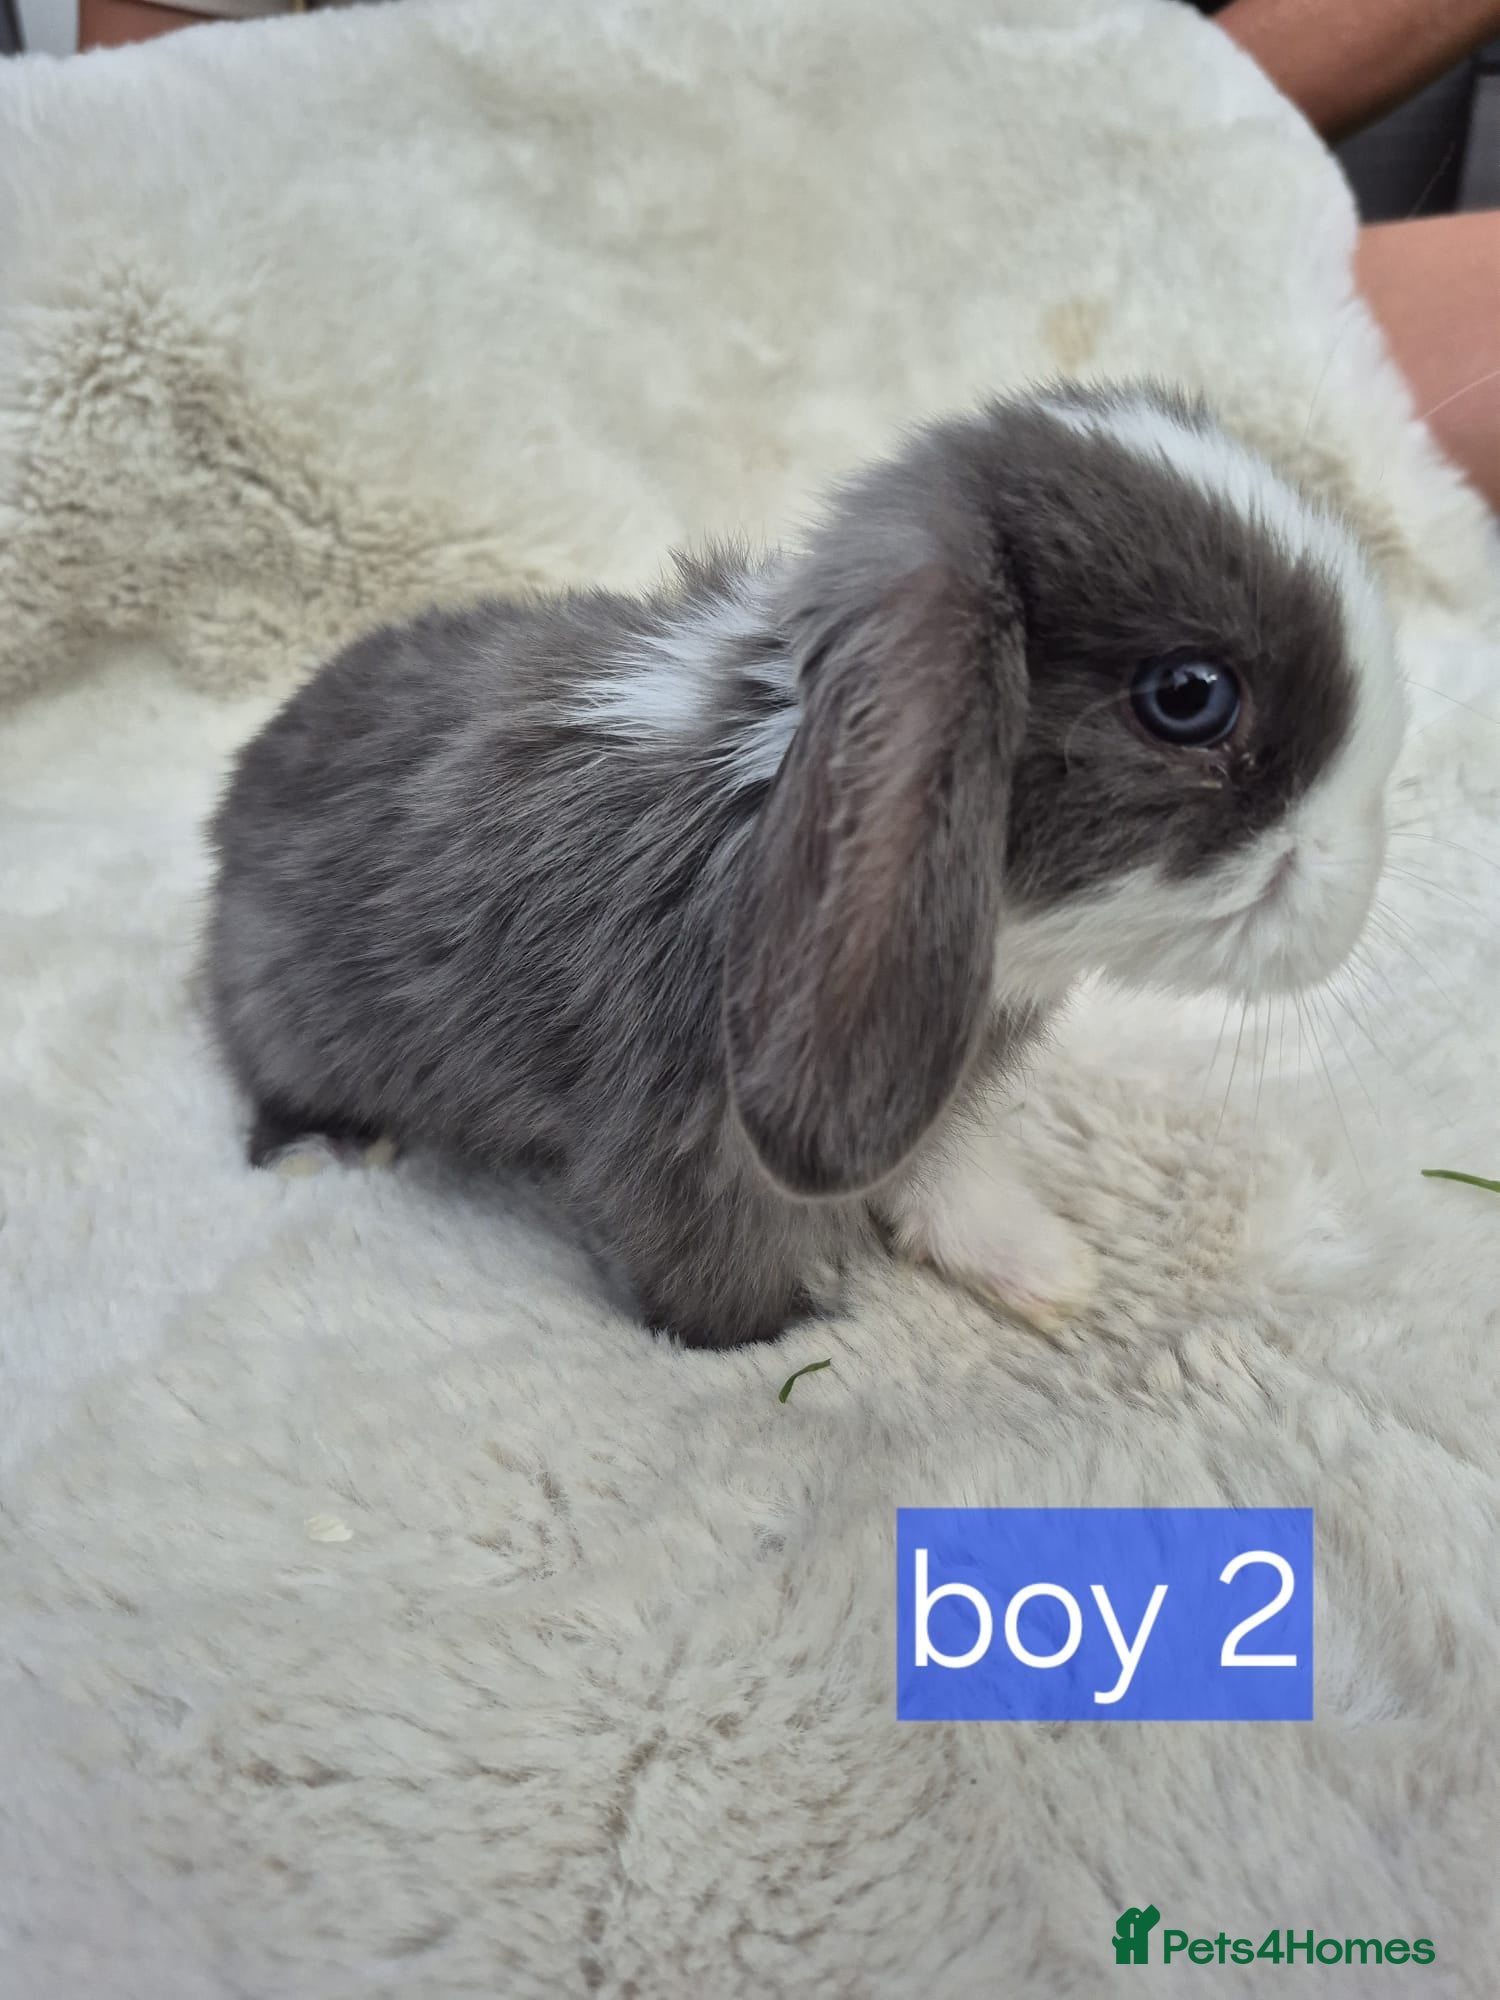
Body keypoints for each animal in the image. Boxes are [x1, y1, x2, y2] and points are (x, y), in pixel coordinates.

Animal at [204, 380, 1404, 1349]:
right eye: (1190, 697)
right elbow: (709, 1269)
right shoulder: (687, 1139)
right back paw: (321, 1150)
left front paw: (1045, 1269)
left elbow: (946, 1176)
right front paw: (791, 1335)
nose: (1353, 896)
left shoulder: (923, 1092)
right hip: (290, 1012)